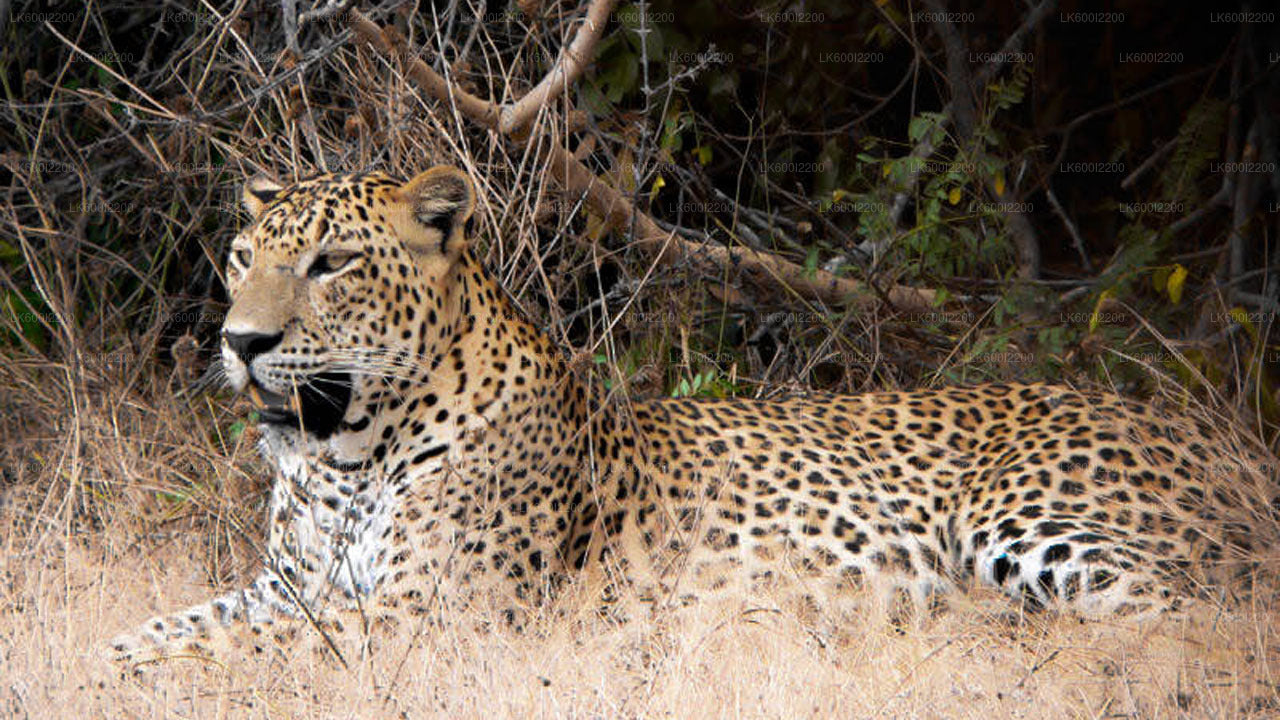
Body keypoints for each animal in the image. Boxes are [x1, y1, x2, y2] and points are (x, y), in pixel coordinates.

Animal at [107, 165, 1280, 666]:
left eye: (334, 263)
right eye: (242, 257)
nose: (239, 343)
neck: (346, 455)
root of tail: (1222, 439)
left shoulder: (432, 614)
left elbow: (225, 651)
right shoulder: (291, 586)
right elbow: (175, 624)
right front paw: (103, 658)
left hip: (1034, 523)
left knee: (1195, 620)